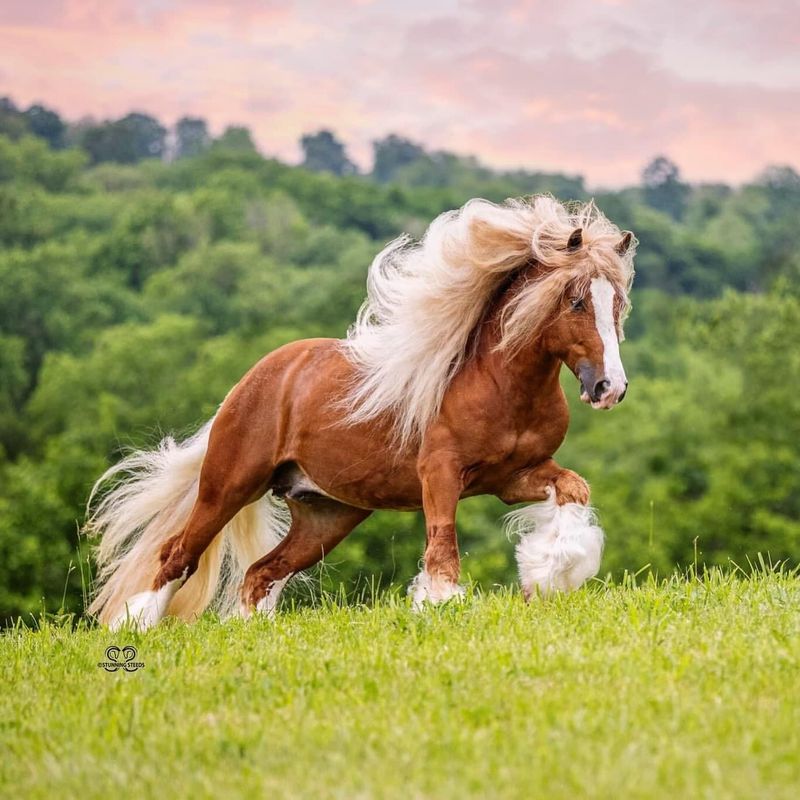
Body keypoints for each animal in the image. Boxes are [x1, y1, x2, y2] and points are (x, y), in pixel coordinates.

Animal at [86, 195, 636, 632]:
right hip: (229, 484)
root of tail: (255, 379)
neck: (501, 387)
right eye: (576, 300)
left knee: (260, 574)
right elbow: (442, 546)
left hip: (326, 513)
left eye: (618, 303)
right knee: (177, 555)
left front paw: (544, 577)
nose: (610, 388)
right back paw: (134, 627)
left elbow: (574, 492)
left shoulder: (514, 476)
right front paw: (438, 605)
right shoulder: (440, 473)